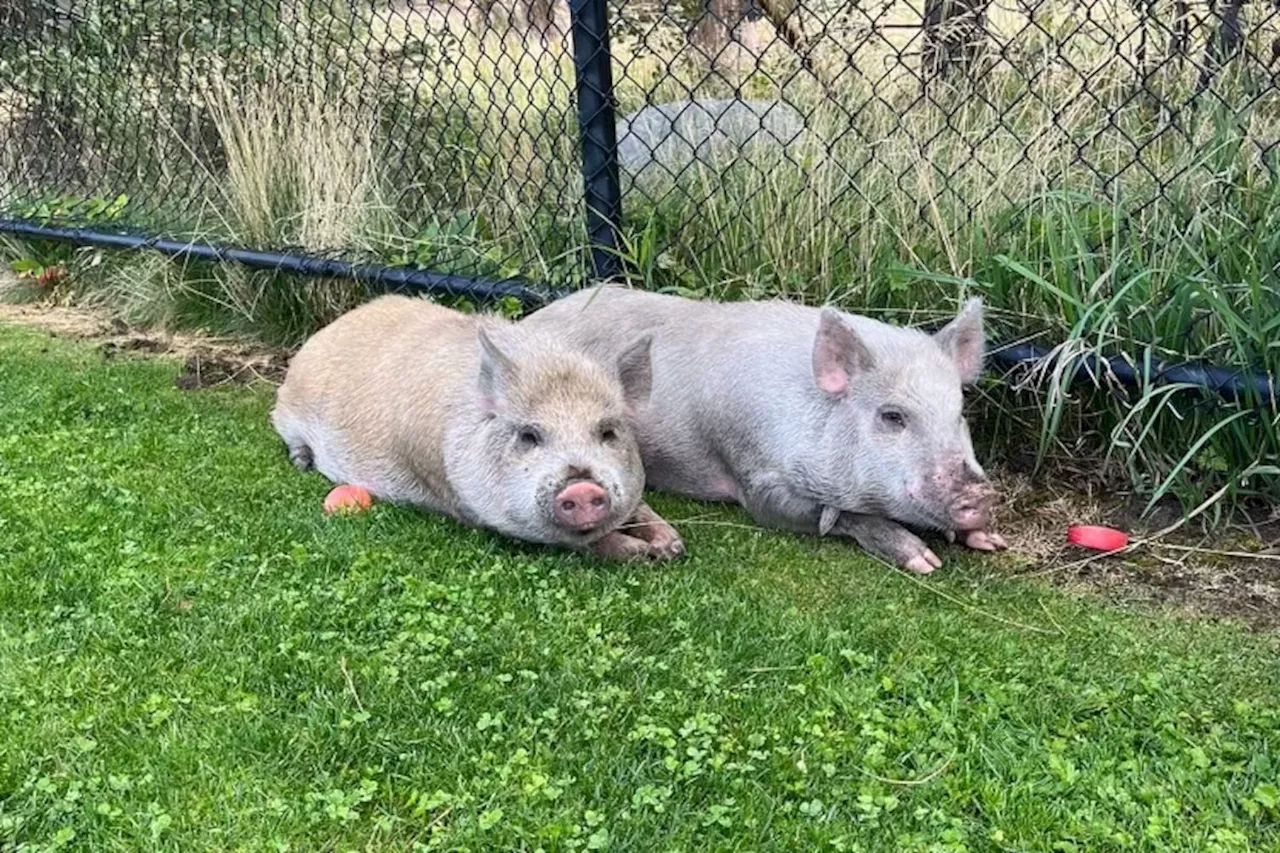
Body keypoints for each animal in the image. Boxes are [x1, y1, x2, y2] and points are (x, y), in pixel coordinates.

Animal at [271, 295, 686, 560]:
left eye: (608, 432)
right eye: (529, 435)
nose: (582, 487)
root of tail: (327, 329)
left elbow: (640, 508)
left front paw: (671, 546)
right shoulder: (465, 502)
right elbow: (578, 543)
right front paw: (640, 552)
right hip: (286, 413)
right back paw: (302, 462)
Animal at [524, 285, 1003, 571]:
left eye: (959, 412)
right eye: (893, 416)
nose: (980, 494)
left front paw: (991, 541)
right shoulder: (757, 484)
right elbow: (838, 515)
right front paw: (925, 562)